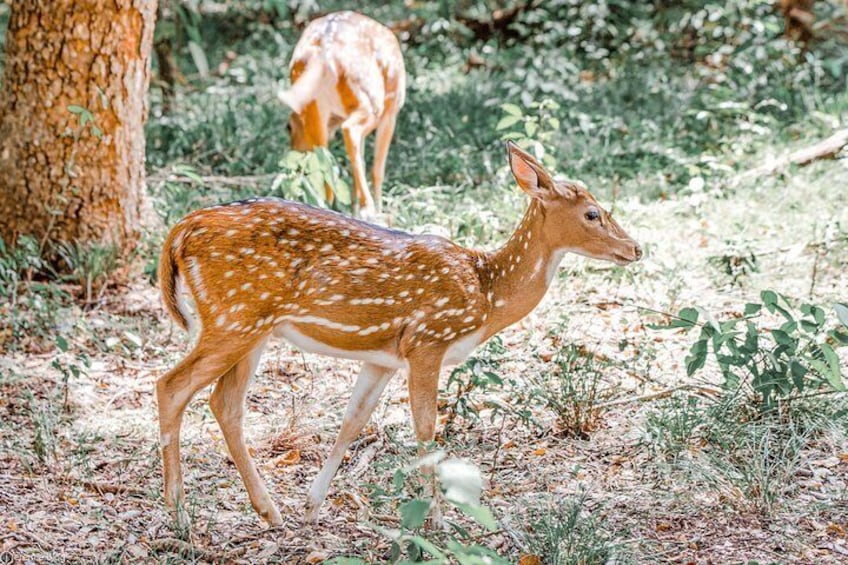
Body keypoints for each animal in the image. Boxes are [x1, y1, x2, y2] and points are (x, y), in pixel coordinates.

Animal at [278, 11, 408, 218]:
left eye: (288, 127)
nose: (295, 155)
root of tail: (323, 54)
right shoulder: (392, 109)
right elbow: (377, 169)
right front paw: (378, 207)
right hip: (371, 99)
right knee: (350, 131)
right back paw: (369, 208)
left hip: (314, 106)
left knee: (324, 156)